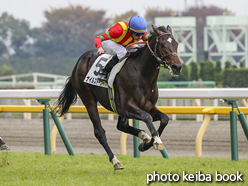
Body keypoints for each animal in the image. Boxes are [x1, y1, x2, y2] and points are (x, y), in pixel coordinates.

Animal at [54, 25, 182, 170]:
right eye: (162, 44)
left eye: (176, 44)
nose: (177, 67)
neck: (141, 74)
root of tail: (79, 62)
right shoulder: (126, 107)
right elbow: (147, 117)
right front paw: (155, 141)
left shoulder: (148, 106)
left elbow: (164, 119)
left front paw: (145, 144)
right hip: (89, 100)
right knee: (99, 132)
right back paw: (116, 161)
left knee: (122, 125)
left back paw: (144, 136)